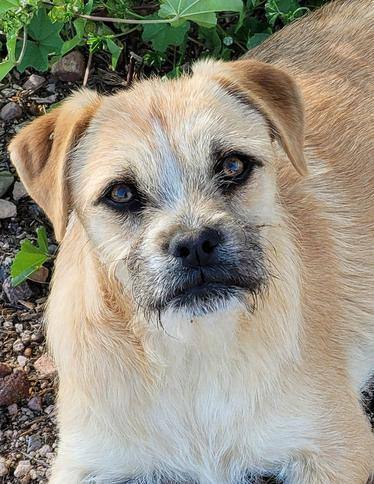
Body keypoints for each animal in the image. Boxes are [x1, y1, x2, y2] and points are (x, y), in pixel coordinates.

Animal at [8, 0, 374, 482]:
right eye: (120, 193)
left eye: (234, 165)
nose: (196, 243)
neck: (190, 353)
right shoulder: (87, 461)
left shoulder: (338, 445)